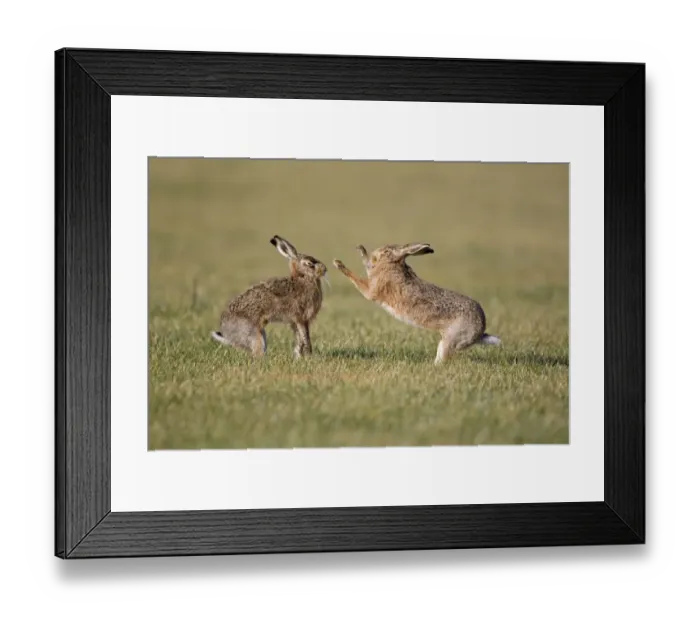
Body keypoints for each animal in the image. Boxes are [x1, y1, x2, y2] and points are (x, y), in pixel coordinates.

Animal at [333, 243, 501, 364]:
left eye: (386, 251)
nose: (376, 253)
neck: (394, 264)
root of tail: (480, 331)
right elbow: (366, 264)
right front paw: (360, 250)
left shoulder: (371, 290)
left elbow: (357, 279)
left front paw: (338, 264)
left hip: (453, 339)